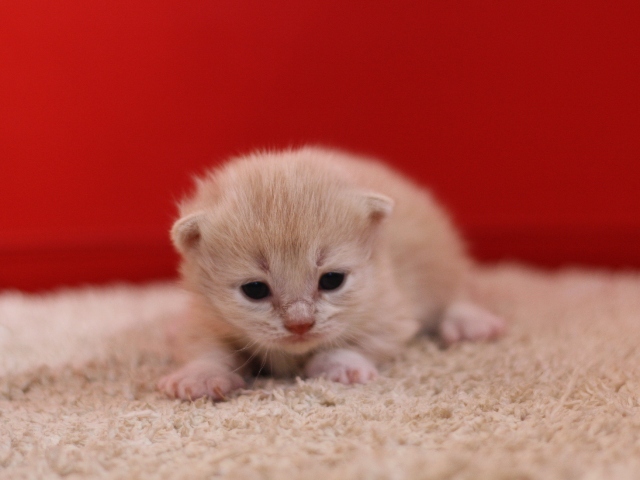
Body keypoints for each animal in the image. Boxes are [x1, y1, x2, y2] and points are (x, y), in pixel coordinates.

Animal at [156, 147, 504, 402]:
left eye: (332, 281)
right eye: (255, 289)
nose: (300, 324)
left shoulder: (391, 307)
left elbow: (366, 340)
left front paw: (340, 366)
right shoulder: (205, 315)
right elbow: (204, 346)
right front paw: (199, 376)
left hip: (440, 259)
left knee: (459, 291)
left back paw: (470, 324)